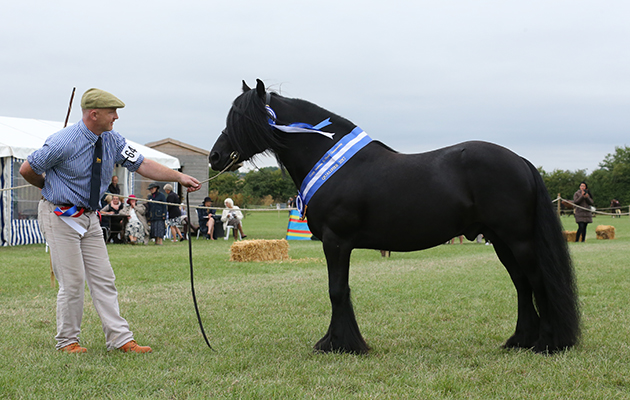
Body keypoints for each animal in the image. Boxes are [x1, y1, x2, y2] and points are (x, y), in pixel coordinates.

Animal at [212, 79, 584, 354]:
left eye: (242, 119)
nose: (216, 156)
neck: (334, 162)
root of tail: (520, 160)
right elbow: (341, 290)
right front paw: (341, 341)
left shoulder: (336, 241)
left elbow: (336, 290)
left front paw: (340, 345)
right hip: (501, 241)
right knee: (522, 285)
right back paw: (520, 341)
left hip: (519, 239)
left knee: (536, 282)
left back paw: (547, 344)